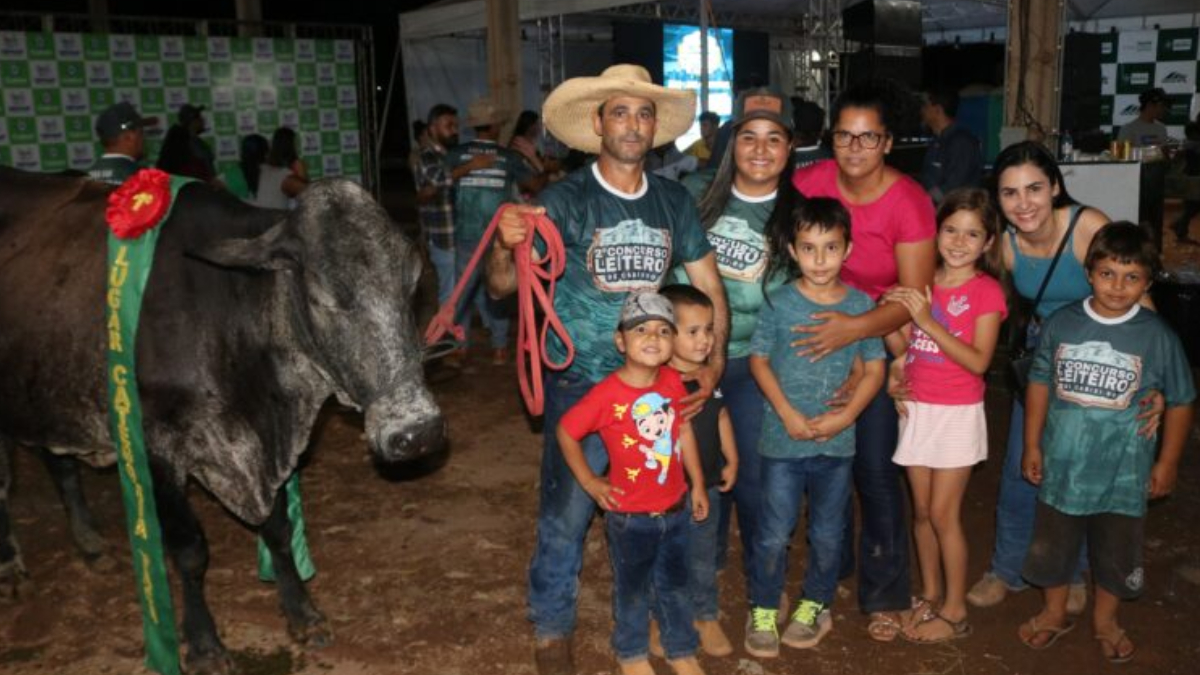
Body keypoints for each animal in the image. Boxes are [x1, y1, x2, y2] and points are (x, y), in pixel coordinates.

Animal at [0, 166, 446, 667]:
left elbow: (277, 530)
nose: (418, 431)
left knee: (59, 466)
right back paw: (12, 568)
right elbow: (190, 550)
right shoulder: (156, 448)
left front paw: (303, 614)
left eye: (412, 285)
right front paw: (205, 644)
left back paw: (92, 546)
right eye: (322, 296)